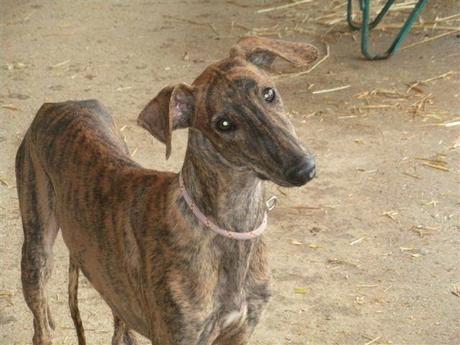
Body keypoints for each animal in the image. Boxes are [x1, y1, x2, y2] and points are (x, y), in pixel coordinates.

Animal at [14, 37, 316, 344]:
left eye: (269, 93)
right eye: (224, 124)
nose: (304, 168)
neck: (229, 229)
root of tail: (57, 105)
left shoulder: (240, 330)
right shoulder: (178, 334)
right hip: (37, 249)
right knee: (40, 326)